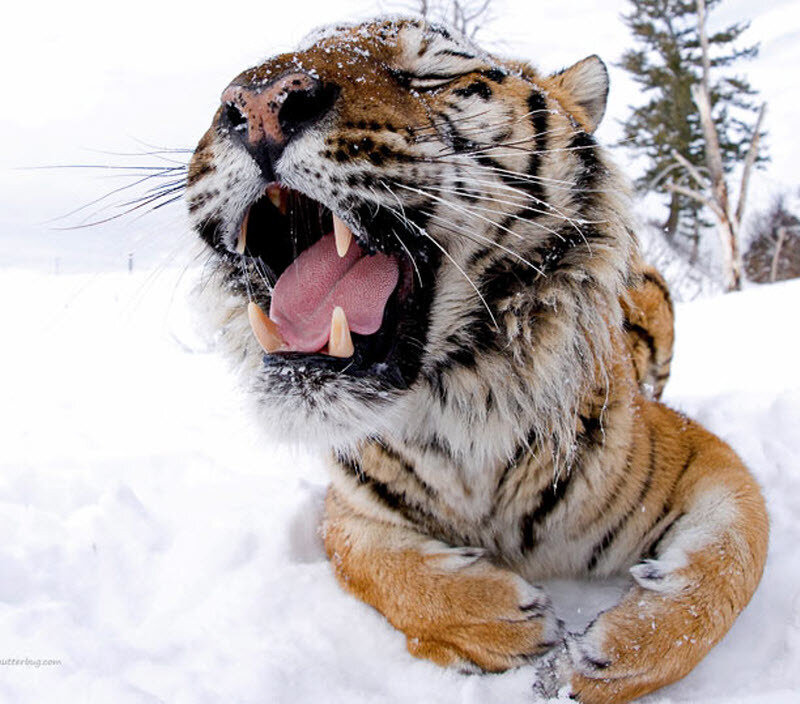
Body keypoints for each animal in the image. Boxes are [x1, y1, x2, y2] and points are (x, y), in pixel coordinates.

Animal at [185, 18, 767, 704]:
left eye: (432, 74)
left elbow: (733, 558)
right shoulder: (349, 505)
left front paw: (607, 655)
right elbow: (375, 564)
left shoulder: (702, 457)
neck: (465, 412)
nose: (255, 103)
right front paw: (502, 621)